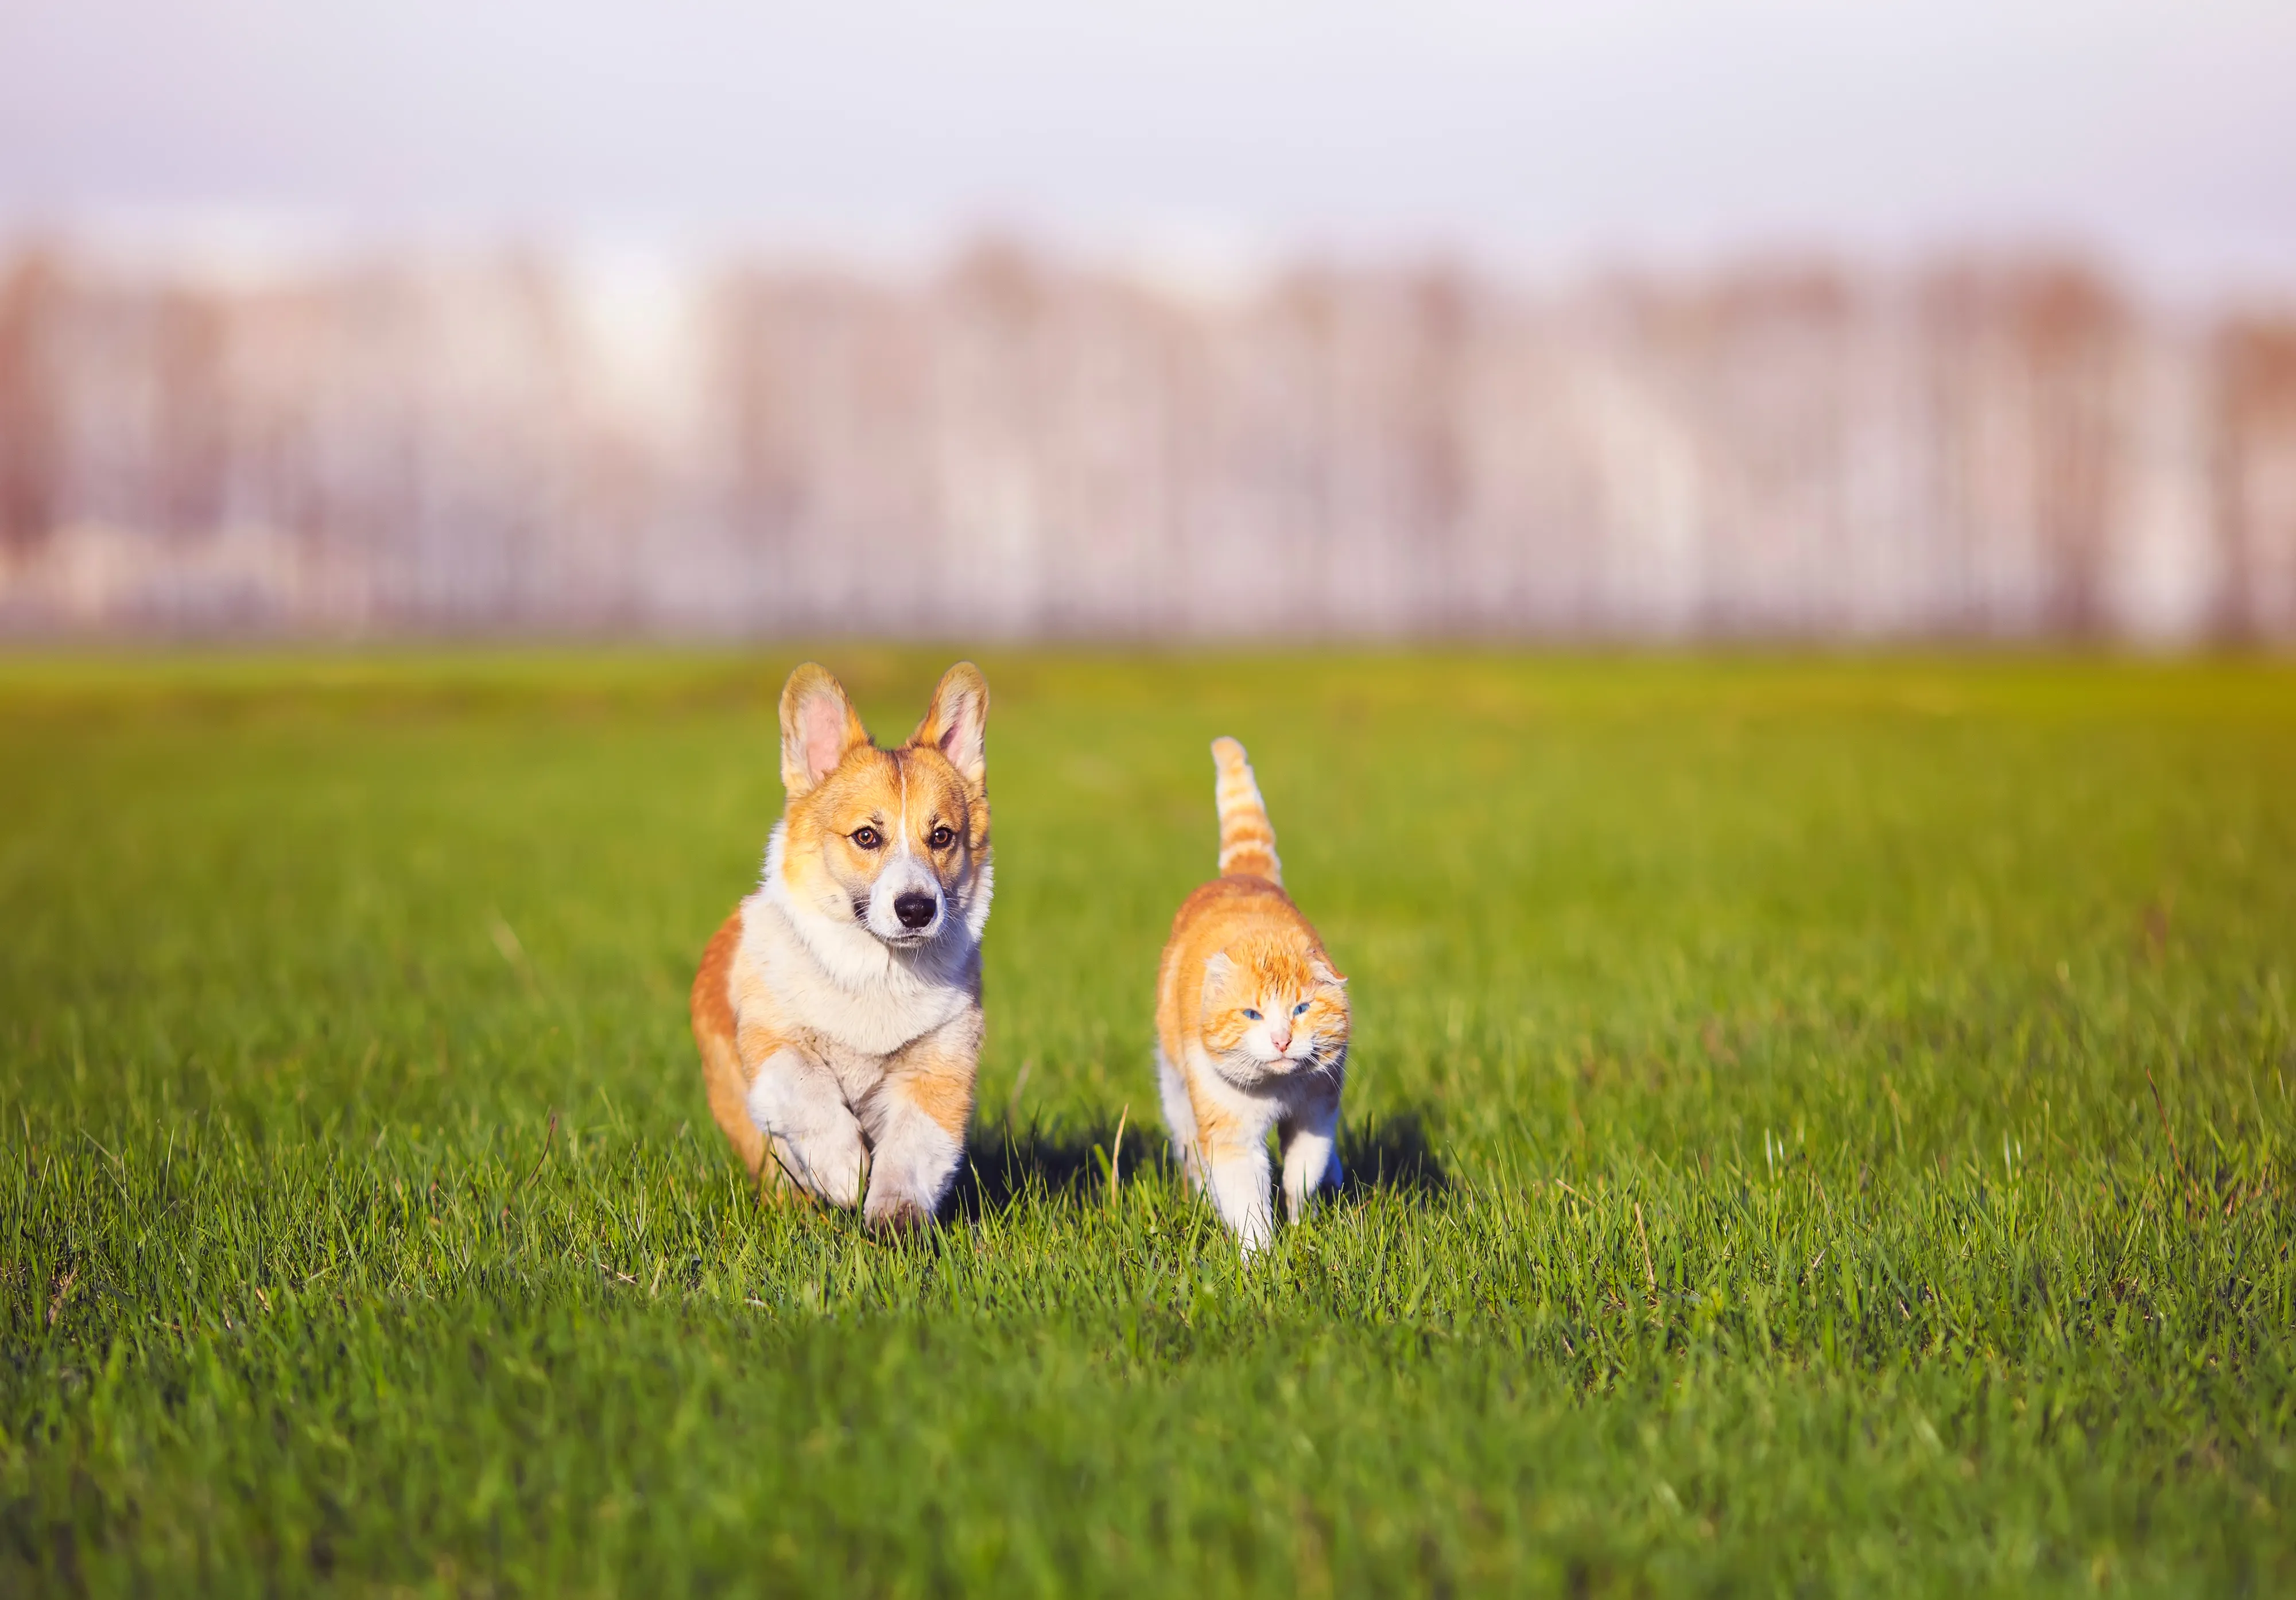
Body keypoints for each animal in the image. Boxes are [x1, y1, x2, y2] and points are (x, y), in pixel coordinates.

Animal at [693, 657, 992, 1230]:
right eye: (866, 837)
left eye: (942, 837)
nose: (917, 909)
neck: (879, 971)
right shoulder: (774, 1044)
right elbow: (806, 1086)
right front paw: (844, 1171)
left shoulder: (940, 1067)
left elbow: (914, 1147)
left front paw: (895, 1219)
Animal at [1148, 735, 1341, 1249]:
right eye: (1251, 1015)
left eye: (1301, 1009)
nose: (1282, 1040)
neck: (1276, 1089)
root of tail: (1244, 874)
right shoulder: (1230, 1133)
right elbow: (1247, 1202)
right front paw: (1262, 1258)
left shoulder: (1318, 1110)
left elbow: (1302, 1174)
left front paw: (1299, 1222)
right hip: (1176, 1094)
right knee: (1192, 1154)